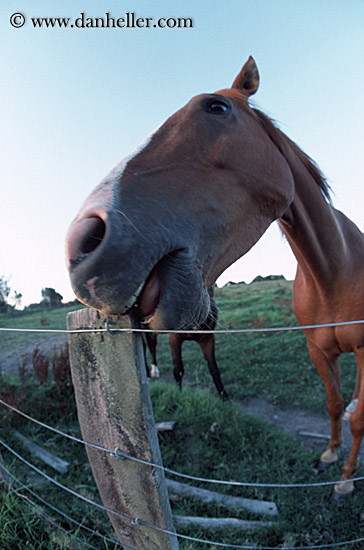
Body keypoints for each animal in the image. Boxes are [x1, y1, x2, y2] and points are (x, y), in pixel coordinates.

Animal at [67, 57, 364, 500]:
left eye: (216, 107)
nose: (82, 241)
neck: (331, 272)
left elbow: (356, 416)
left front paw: (345, 478)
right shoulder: (316, 350)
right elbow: (331, 402)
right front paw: (329, 455)